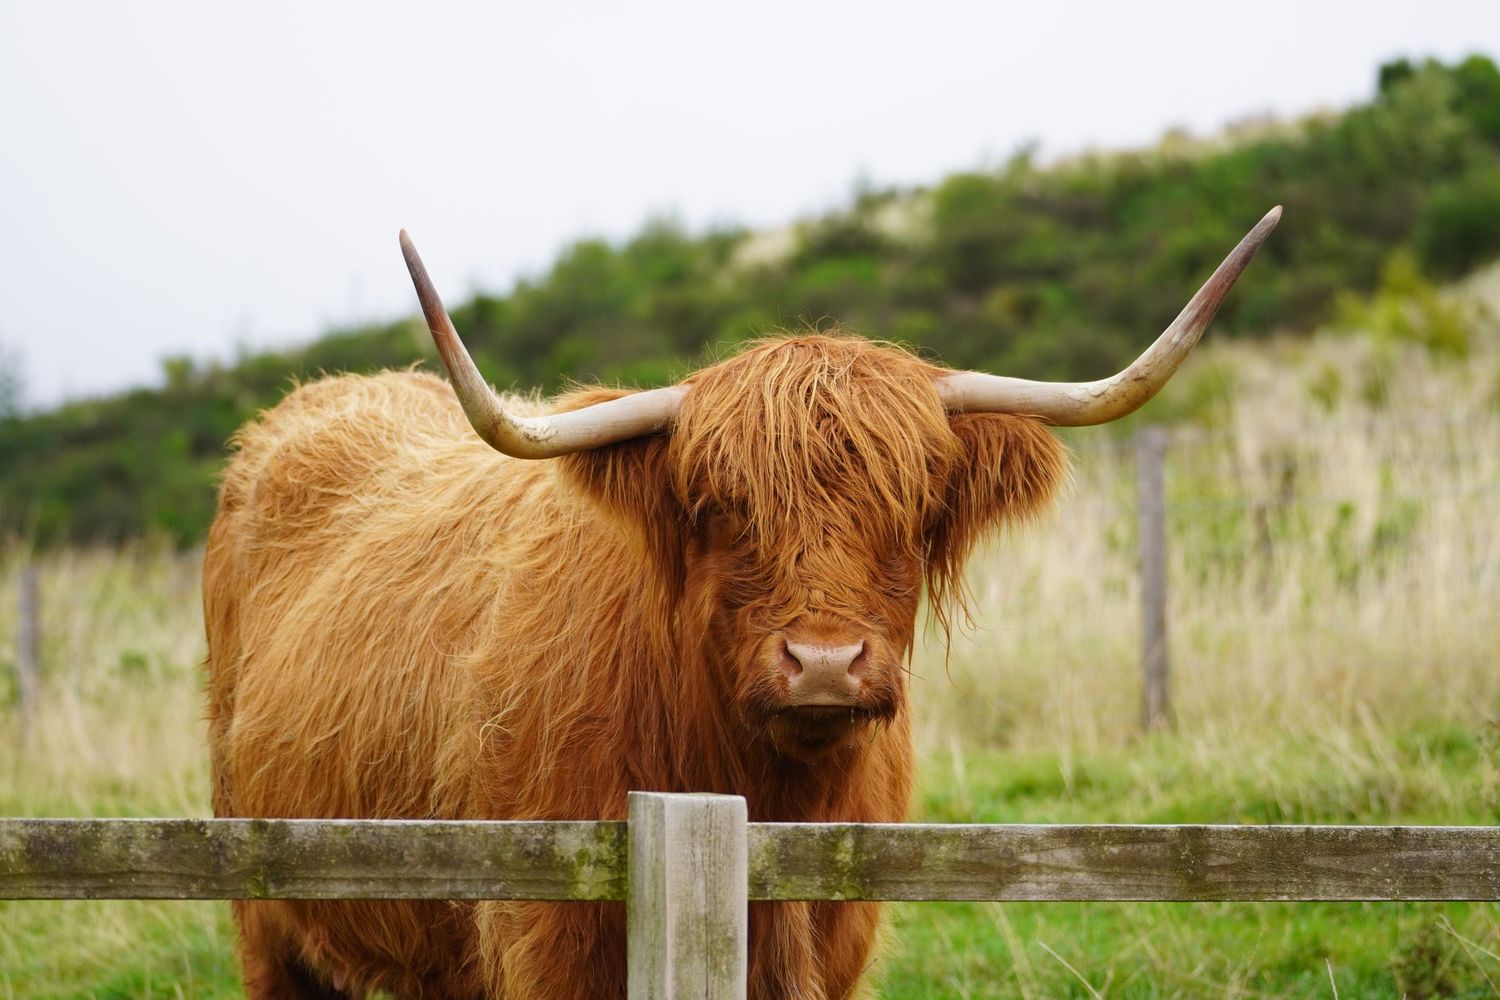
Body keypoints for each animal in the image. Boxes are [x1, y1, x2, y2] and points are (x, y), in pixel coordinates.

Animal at [203, 207, 1280, 998]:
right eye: (721, 508)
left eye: (914, 508)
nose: (825, 663)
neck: (758, 807)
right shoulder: (542, 940)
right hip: (268, 911)